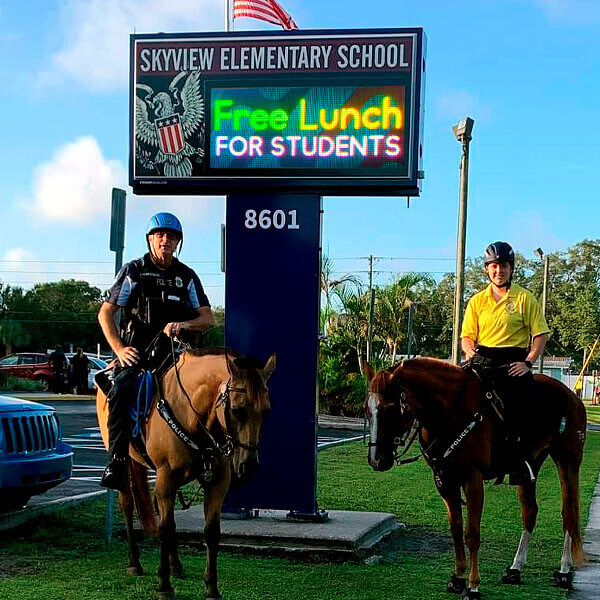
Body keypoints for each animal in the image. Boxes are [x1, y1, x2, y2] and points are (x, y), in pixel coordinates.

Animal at [97, 346, 278, 600]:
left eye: (267, 412)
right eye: (237, 410)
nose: (249, 466)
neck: (193, 413)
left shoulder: (218, 480)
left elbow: (210, 531)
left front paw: (211, 587)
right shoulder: (166, 476)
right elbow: (164, 528)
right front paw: (164, 584)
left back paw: (175, 564)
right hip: (128, 463)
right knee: (128, 505)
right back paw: (135, 562)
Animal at [364, 358, 584, 596]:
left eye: (390, 409)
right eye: (367, 409)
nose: (376, 460)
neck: (450, 415)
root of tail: (572, 396)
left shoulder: (473, 480)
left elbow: (472, 534)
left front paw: (473, 586)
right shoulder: (444, 482)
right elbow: (456, 528)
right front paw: (458, 577)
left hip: (568, 462)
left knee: (569, 513)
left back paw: (563, 571)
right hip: (529, 466)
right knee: (530, 512)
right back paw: (515, 568)